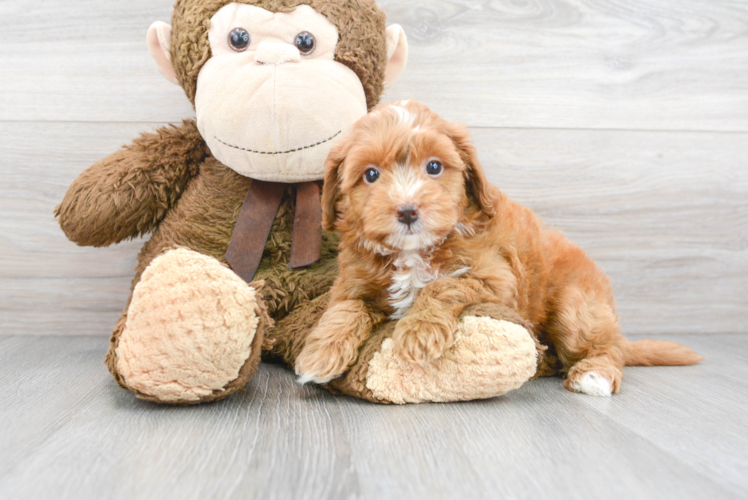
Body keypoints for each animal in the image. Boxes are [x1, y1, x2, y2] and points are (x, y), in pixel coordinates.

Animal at [296, 100, 704, 398]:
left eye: (434, 167)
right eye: (370, 175)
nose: (408, 210)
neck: (413, 251)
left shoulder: (497, 279)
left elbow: (441, 285)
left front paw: (418, 331)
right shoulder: (352, 283)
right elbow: (345, 309)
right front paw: (319, 353)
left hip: (577, 308)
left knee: (605, 347)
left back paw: (594, 375)